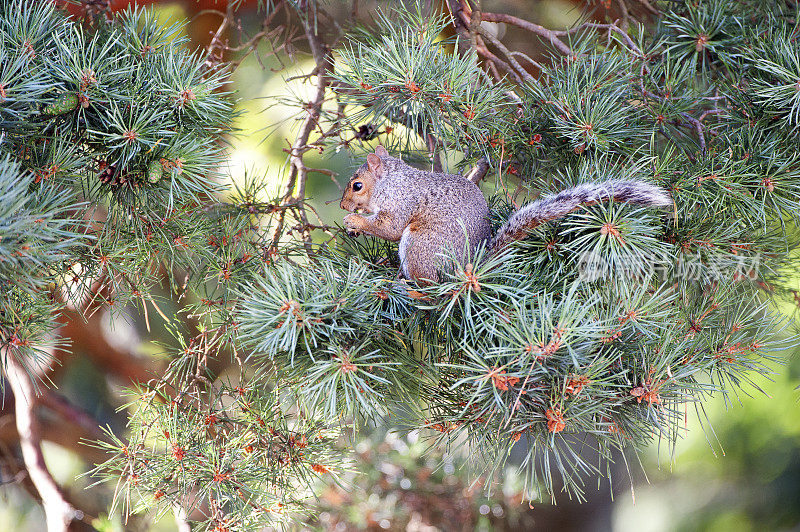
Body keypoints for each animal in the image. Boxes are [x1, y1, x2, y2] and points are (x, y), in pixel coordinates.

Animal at [340, 145, 672, 282]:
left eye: (357, 186)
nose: (342, 206)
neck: (393, 182)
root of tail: (470, 268)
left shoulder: (401, 203)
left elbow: (390, 228)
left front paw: (353, 221)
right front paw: (353, 225)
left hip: (419, 246)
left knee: (429, 286)